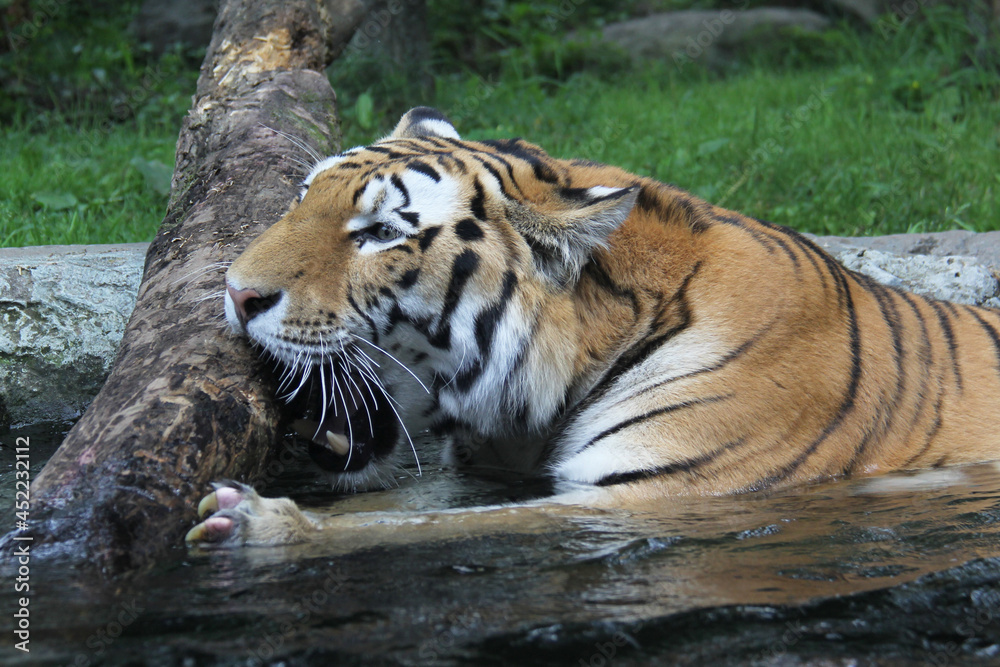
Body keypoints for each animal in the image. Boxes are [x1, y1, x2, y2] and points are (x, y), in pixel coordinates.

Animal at [186, 106, 1000, 546]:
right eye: (302, 196)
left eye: (382, 233)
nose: (236, 291)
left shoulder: (647, 490)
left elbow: (411, 527)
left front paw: (259, 525)